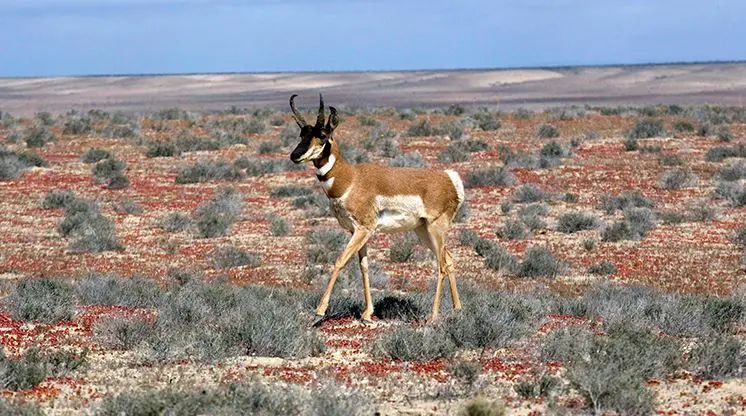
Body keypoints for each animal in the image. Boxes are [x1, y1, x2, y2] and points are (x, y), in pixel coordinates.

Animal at [288, 95, 462, 324]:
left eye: (322, 135)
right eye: (302, 133)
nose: (294, 155)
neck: (350, 179)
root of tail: (449, 178)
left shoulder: (363, 229)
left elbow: (340, 261)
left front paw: (319, 311)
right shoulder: (357, 232)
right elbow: (363, 266)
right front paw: (367, 313)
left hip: (435, 230)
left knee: (441, 264)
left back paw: (433, 316)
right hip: (423, 232)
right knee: (448, 259)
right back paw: (457, 309)